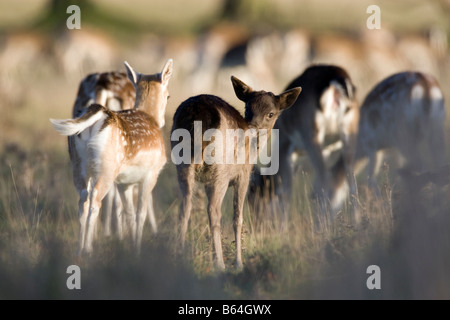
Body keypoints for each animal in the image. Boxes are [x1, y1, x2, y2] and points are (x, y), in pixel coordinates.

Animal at [50, 59, 173, 255]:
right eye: (168, 96)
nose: (162, 122)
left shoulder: (125, 182)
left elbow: (130, 213)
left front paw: (133, 246)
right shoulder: (151, 173)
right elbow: (141, 213)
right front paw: (138, 248)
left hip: (78, 164)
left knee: (83, 199)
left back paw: (79, 250)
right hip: (106, 167)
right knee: (95, 200)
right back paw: (88, 249)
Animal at [171, 75, 300, 270]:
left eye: (271, 113)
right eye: (248, 108)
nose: (254, 128)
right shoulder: (244, 175)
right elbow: (238, 218)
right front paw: (238, 262)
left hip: (182, 163)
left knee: (184, 206)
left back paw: (179, 254)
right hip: (220, 171)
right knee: (214, 210)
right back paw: (220, 264)